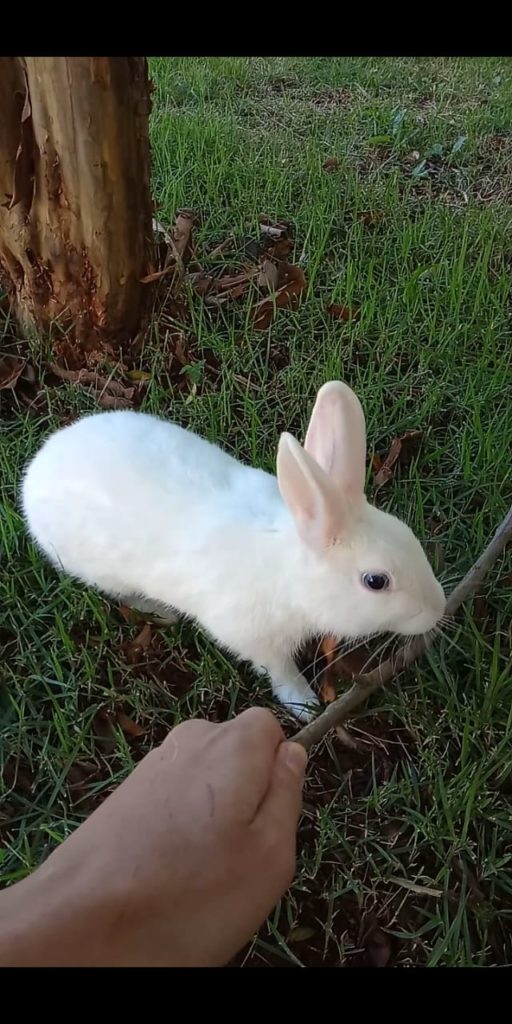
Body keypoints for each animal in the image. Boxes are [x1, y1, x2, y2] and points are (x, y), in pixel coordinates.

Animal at [21, 381, 446, 722]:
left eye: (409, 535)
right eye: (375, 581)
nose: (438, 609)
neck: (290, 574)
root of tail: (36, 470)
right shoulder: (254, 639)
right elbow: (279, 670)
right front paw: (305, 705)